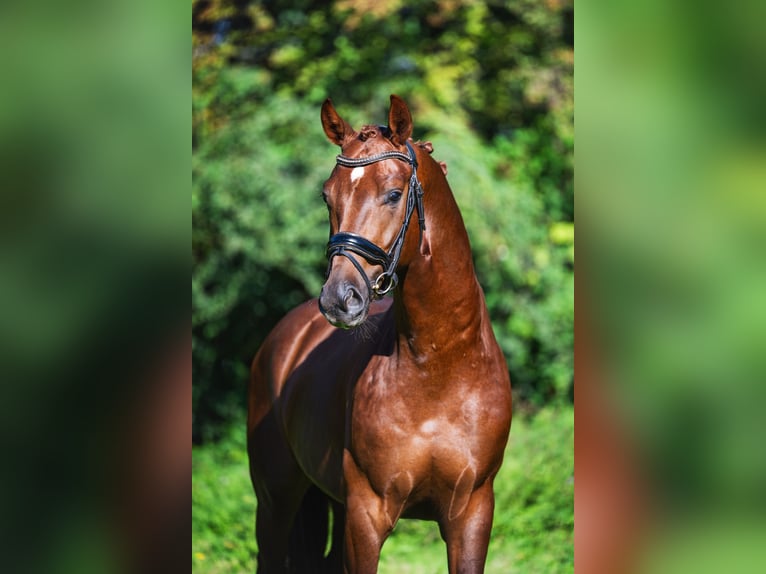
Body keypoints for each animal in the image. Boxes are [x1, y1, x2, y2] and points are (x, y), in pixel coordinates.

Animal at [247, 95, 512, 573]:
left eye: (392, 194)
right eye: (327, 196)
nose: (339, 299)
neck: (439, 365)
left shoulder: (472, 513)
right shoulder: (366, 515)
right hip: (275, 501)